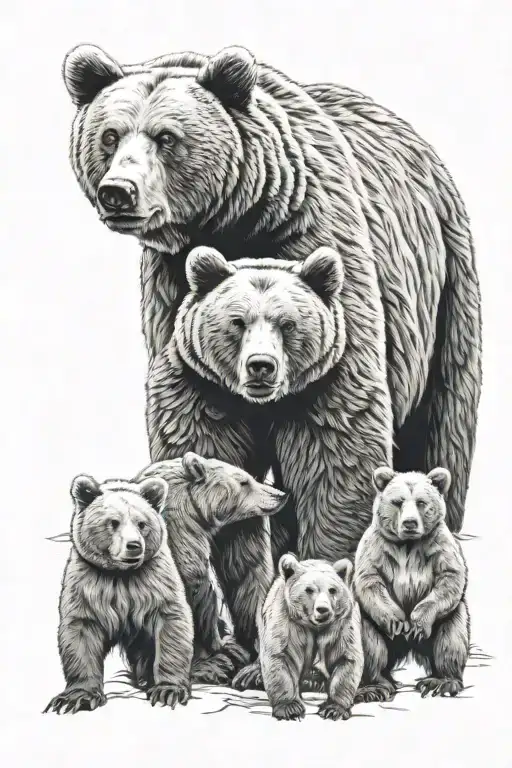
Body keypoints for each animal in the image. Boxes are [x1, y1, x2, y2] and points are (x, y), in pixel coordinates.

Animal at [44, 473, 194, 715]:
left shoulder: (155, 583)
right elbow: (81, 632)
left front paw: (168, 690)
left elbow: (172, 623)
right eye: (113, 522)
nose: (134, 545)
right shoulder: (88, 586)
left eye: (142, 523)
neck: (120, 574)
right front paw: (77, 697)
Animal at [62, 43, 482, 542]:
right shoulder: (173, 290)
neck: (236, 221)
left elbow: (335, 419)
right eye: (110, 135)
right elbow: (200, 415)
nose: (117, 192)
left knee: (440, 420)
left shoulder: (317, 240)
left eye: (166, 137)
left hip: (445, 293)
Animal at [133, 451, 289, 685]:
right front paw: (215, 651)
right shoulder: (180, 531)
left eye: (250, 477)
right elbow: (195, 585)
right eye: (244, 481)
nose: (279, 494)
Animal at [259, 553, 363, 721]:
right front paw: (290, 708)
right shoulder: (287, 622)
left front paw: (333, 709)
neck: (314, 626)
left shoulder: (341, 625)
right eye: (309, 590)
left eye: (332, 590)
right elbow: (279, 656)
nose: (323, 609)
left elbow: (346, 659)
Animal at [353, 466, 470, 704]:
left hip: (448, 620)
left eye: (421, 502)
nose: (409, 523)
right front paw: (397, 622)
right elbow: (370, 580)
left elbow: (450, 578)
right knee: (369, 644)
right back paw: (374, 687)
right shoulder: (377, 547)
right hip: (369, 621)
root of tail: (406, 649)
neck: (408, 544)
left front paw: (416, 624)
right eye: (398, 501)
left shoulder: (439, 546)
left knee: (451, 638)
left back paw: (441, 682)